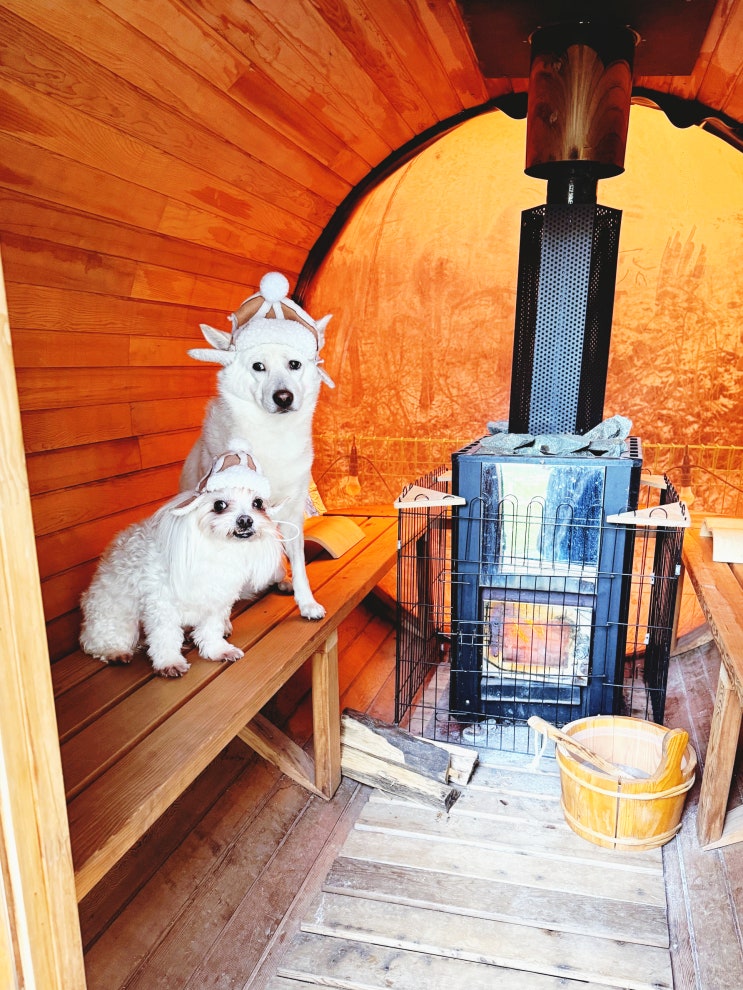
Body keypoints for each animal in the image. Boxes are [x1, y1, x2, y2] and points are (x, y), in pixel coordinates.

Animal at [80, 448, 285, 678]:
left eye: (257, 503)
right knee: (96, 641)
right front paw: (169, 662)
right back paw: (115, 652)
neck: (218, 550)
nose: (246, 520)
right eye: (219, 505)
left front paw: (217, 650)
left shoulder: (216, 600)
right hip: (116, 617)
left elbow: (211, 630)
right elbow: (165, 636)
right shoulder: (161, 605)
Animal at [181, 272, 334, 620]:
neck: (271, 436)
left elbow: (300, 564)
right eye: (258, 367)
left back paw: (281, 580)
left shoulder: (292, 513)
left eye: (294, 364)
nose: (284, 397)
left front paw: (307, 602)